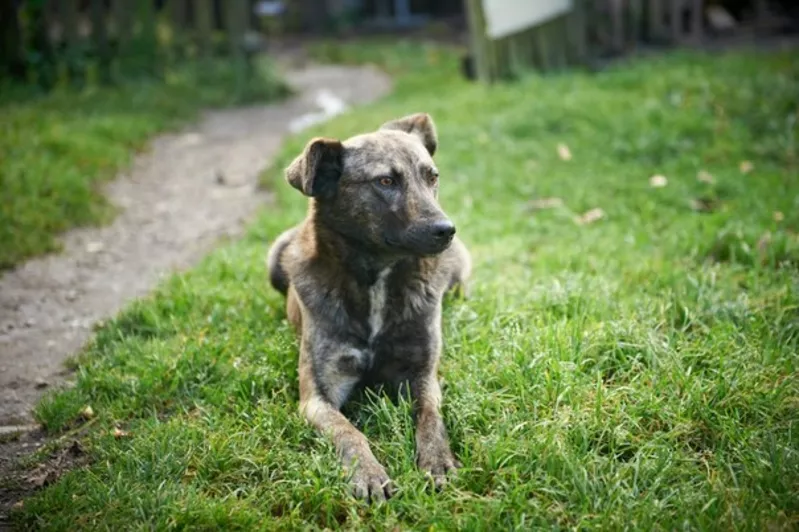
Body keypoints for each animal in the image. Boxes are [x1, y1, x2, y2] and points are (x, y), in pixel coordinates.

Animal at [266, 111, 472, 498]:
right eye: (386, 181)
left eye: (432, 176)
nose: (446, 230)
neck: (377, 278)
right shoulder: (317, 396)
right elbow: (347, 431)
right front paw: (367, 471)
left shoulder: (422, 374)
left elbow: (430, 416)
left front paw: (437, 459)